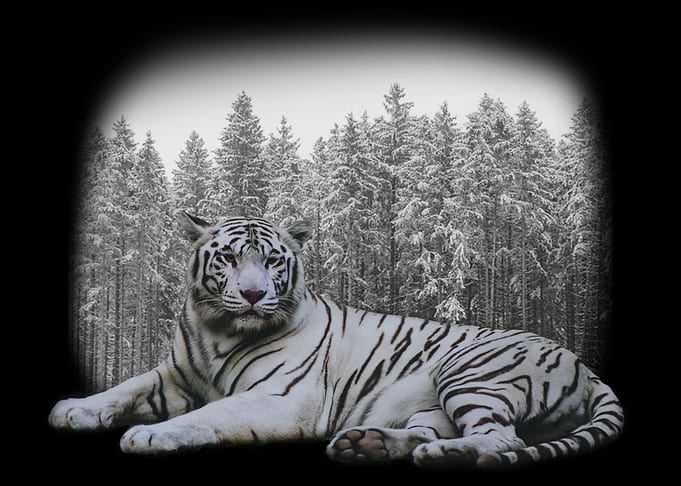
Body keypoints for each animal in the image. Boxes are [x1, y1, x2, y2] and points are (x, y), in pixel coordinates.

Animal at [49, 213, 623, 468]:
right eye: (229, 258)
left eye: (272, 260)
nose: (254, 295)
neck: (219, 329)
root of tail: (584, 364)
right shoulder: (173, 376)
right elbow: (124, 387)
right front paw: (74, 409)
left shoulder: (280, 398)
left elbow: (211, 414)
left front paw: (151, 435)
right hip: (435, 401)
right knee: (432, 428)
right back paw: (367, 444)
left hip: (470, 372)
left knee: (503, 438)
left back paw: (445, 454)